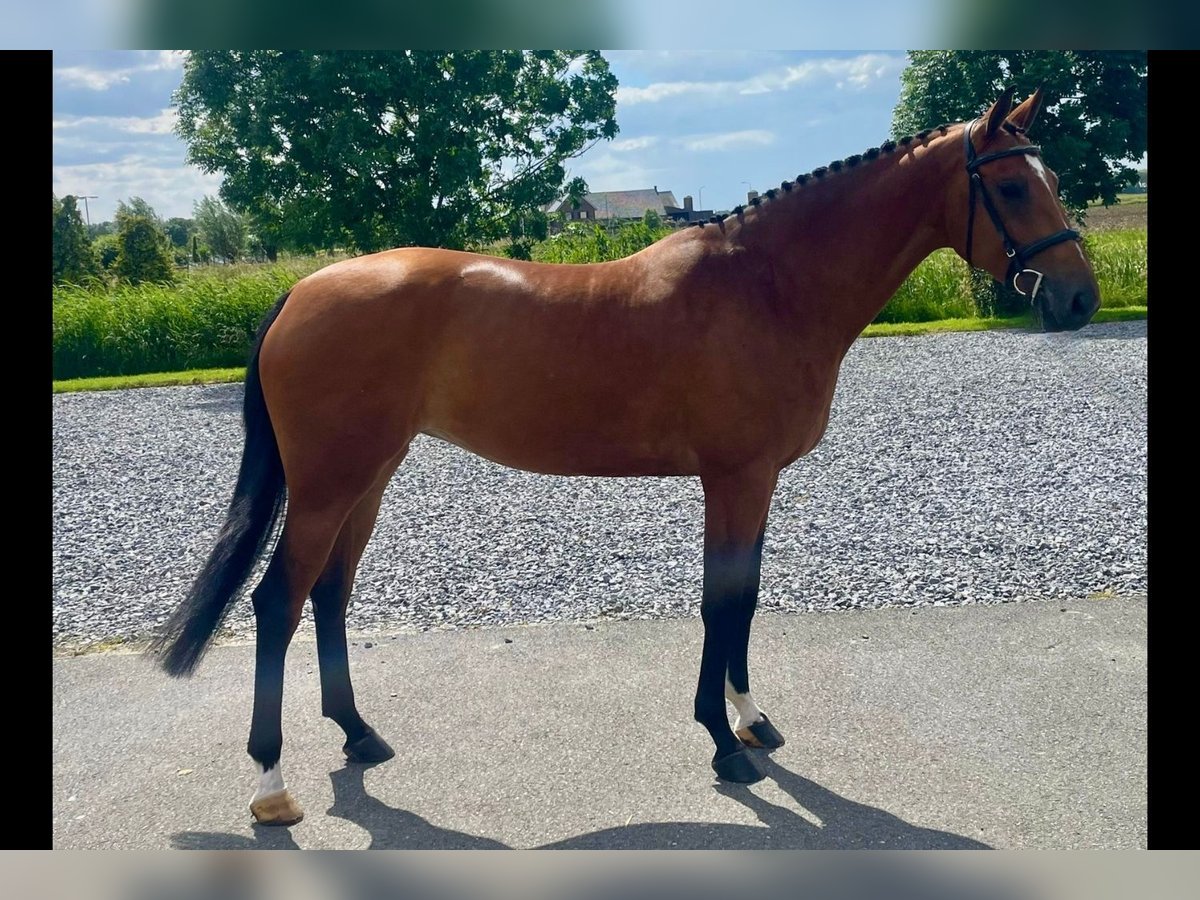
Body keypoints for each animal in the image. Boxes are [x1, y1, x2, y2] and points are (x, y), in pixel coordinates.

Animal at [154, 88, 1099, 830]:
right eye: (1011, 185)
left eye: (1051, 181)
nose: (1079, 298)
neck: (767, 285)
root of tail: (302, 291)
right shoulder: (735, 477)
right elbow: (722, 603)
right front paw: (723, 745)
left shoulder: (758, 482)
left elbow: (745, 598)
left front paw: (750, 719)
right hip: (329, 484)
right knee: (277, 602)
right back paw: (272, 785)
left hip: (369, 479)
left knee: (329, 595)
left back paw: (359, 735)